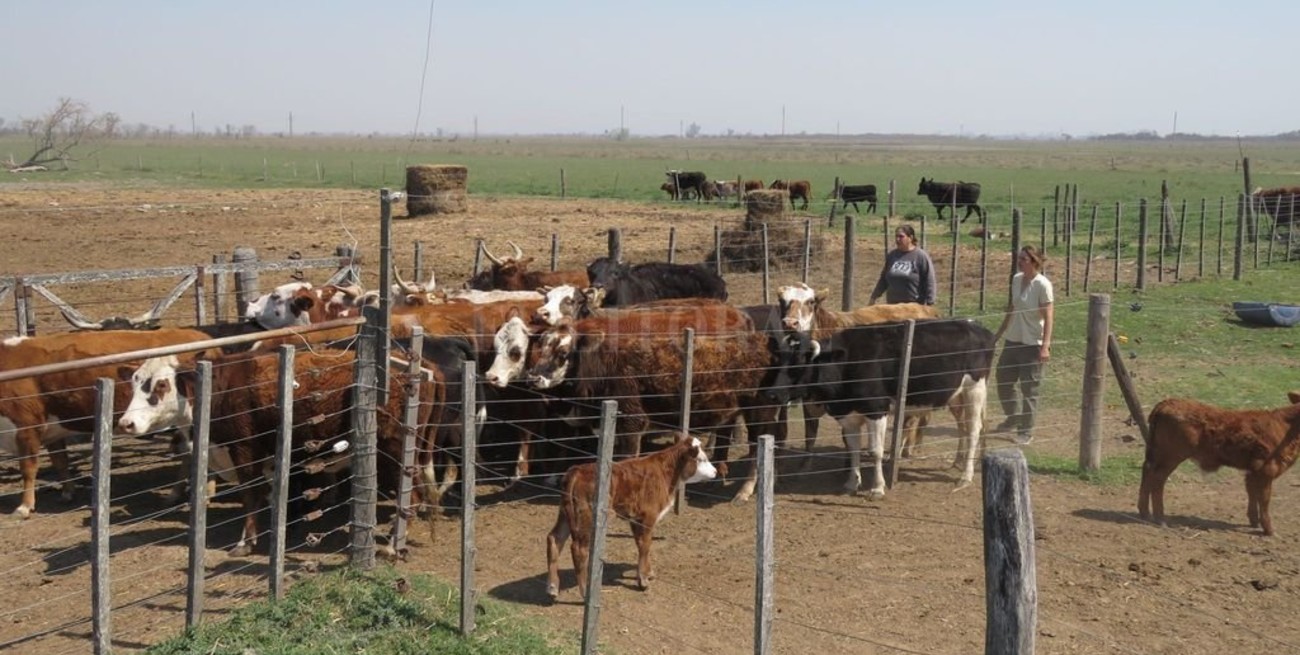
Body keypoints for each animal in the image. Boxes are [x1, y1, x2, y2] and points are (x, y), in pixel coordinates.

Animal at [0, 328, 220, 517]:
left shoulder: (26, 426)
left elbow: (28, 468)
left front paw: (24, 506)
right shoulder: (52, 430)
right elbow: (60, 462)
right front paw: (67, 492)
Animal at [545, 432, 717, 599]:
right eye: (702, 459)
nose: (715, 471)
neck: (666, 472)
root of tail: (577, 470)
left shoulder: (635, 518)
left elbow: (641, 544)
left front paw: (648, 573)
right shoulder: (648, 516)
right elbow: (646, 545)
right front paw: (643, 581)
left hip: (566, 514)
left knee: (554, 538)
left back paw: (552, 586)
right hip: (586, 517)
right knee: (579, 549)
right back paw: (584, 592)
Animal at [789, 318, 995, 499]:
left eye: (798, 365)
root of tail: (978, 326)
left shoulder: (877, 410)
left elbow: (875, 451)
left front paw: (877, 489)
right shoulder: (848, 416)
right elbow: (853, 448)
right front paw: (851, 484)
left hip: (975, 389)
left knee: (974, 430)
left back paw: (965, 477)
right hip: (956, 396)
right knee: (963, 427)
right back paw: (957, 462)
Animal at [1139, 392, 1300, 536]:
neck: (1287, 428)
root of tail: (1166, 403)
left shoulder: (1252, 470)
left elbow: (1252, 493)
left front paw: (1254, 522)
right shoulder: (1266, 470)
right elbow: (1264, 499)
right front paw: (1269, 530)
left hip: (1157, 454)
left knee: (1147, 472)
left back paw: (1145, 513)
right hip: (1171, 456)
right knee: (1157, 479)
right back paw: (1160, 519)